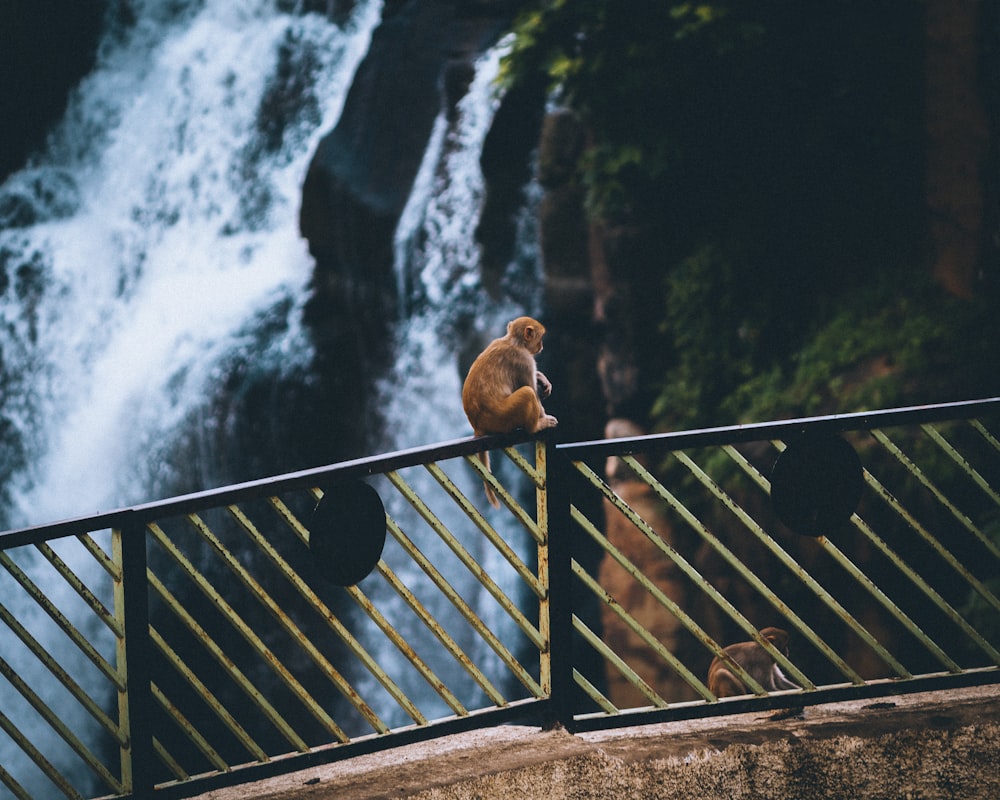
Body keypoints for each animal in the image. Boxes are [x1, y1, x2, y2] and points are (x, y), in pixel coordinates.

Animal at [462, 314, 560, 506]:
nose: (542, 346)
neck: (514, 341)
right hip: (503, 417)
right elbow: (531, 389)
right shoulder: (524, 360)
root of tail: (477, 425)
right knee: (527, 393)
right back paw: (536, 426)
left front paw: (542, 378)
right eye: (540, 338)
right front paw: (544, 417)